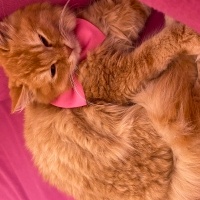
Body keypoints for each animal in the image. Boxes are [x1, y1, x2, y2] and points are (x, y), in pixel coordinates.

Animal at [0, 0, 200, 200]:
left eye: (43, 40)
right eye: (52, 70)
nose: (68, 50)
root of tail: (167, 191)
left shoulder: (119, 17)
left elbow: (135, 6)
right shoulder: (120, 75)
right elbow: (157, 48)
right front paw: (187, 34)